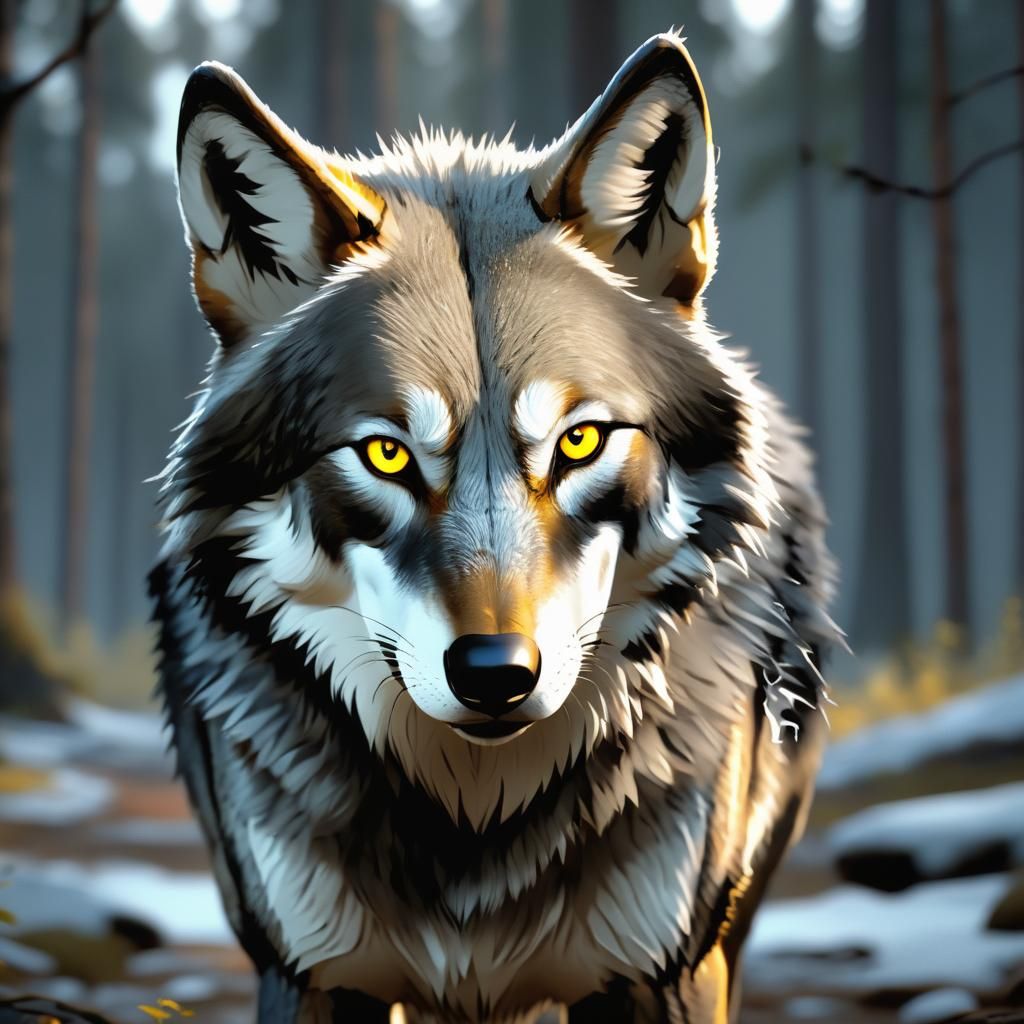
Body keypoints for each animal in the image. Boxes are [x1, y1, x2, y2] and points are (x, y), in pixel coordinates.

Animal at [151, 31, 839, 1024]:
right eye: (388, 455)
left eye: (579, 441)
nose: (495, 675)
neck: (475, 821)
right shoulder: (307, 972)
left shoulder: (666, 972)